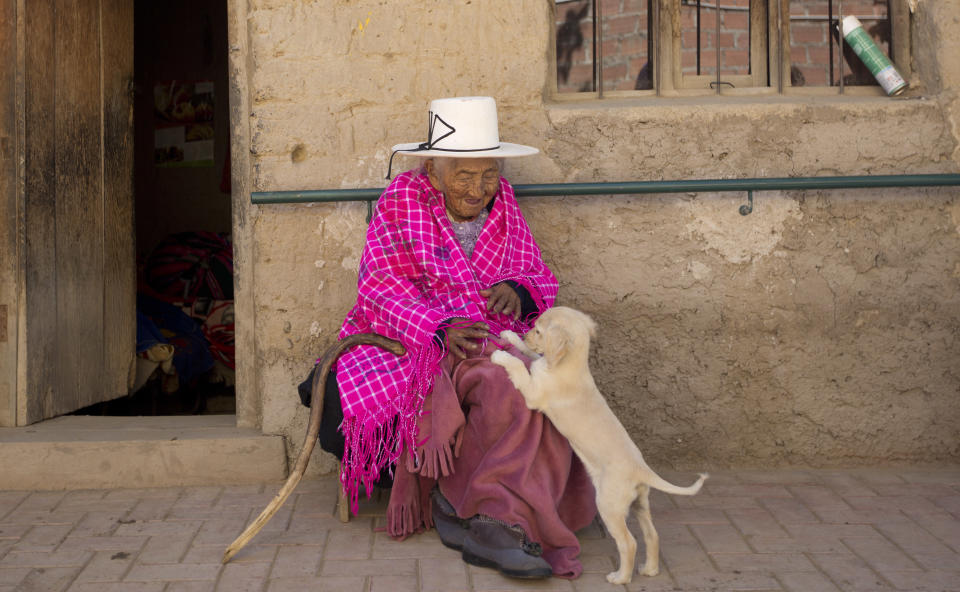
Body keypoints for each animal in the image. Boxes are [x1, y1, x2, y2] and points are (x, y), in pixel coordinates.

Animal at [496, 308, 704, 584]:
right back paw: (649, 569)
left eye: (538, 330)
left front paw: (501, 355)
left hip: (608, 505)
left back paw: (621, 577)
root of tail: (641, 468)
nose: (526, 334)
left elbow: (520, 365)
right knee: (652, 534)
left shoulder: (533, 394)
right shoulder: (540, 366)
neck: (566, 366)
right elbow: (531, 357)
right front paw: (510, 337)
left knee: (629, 542)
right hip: (639, 503)